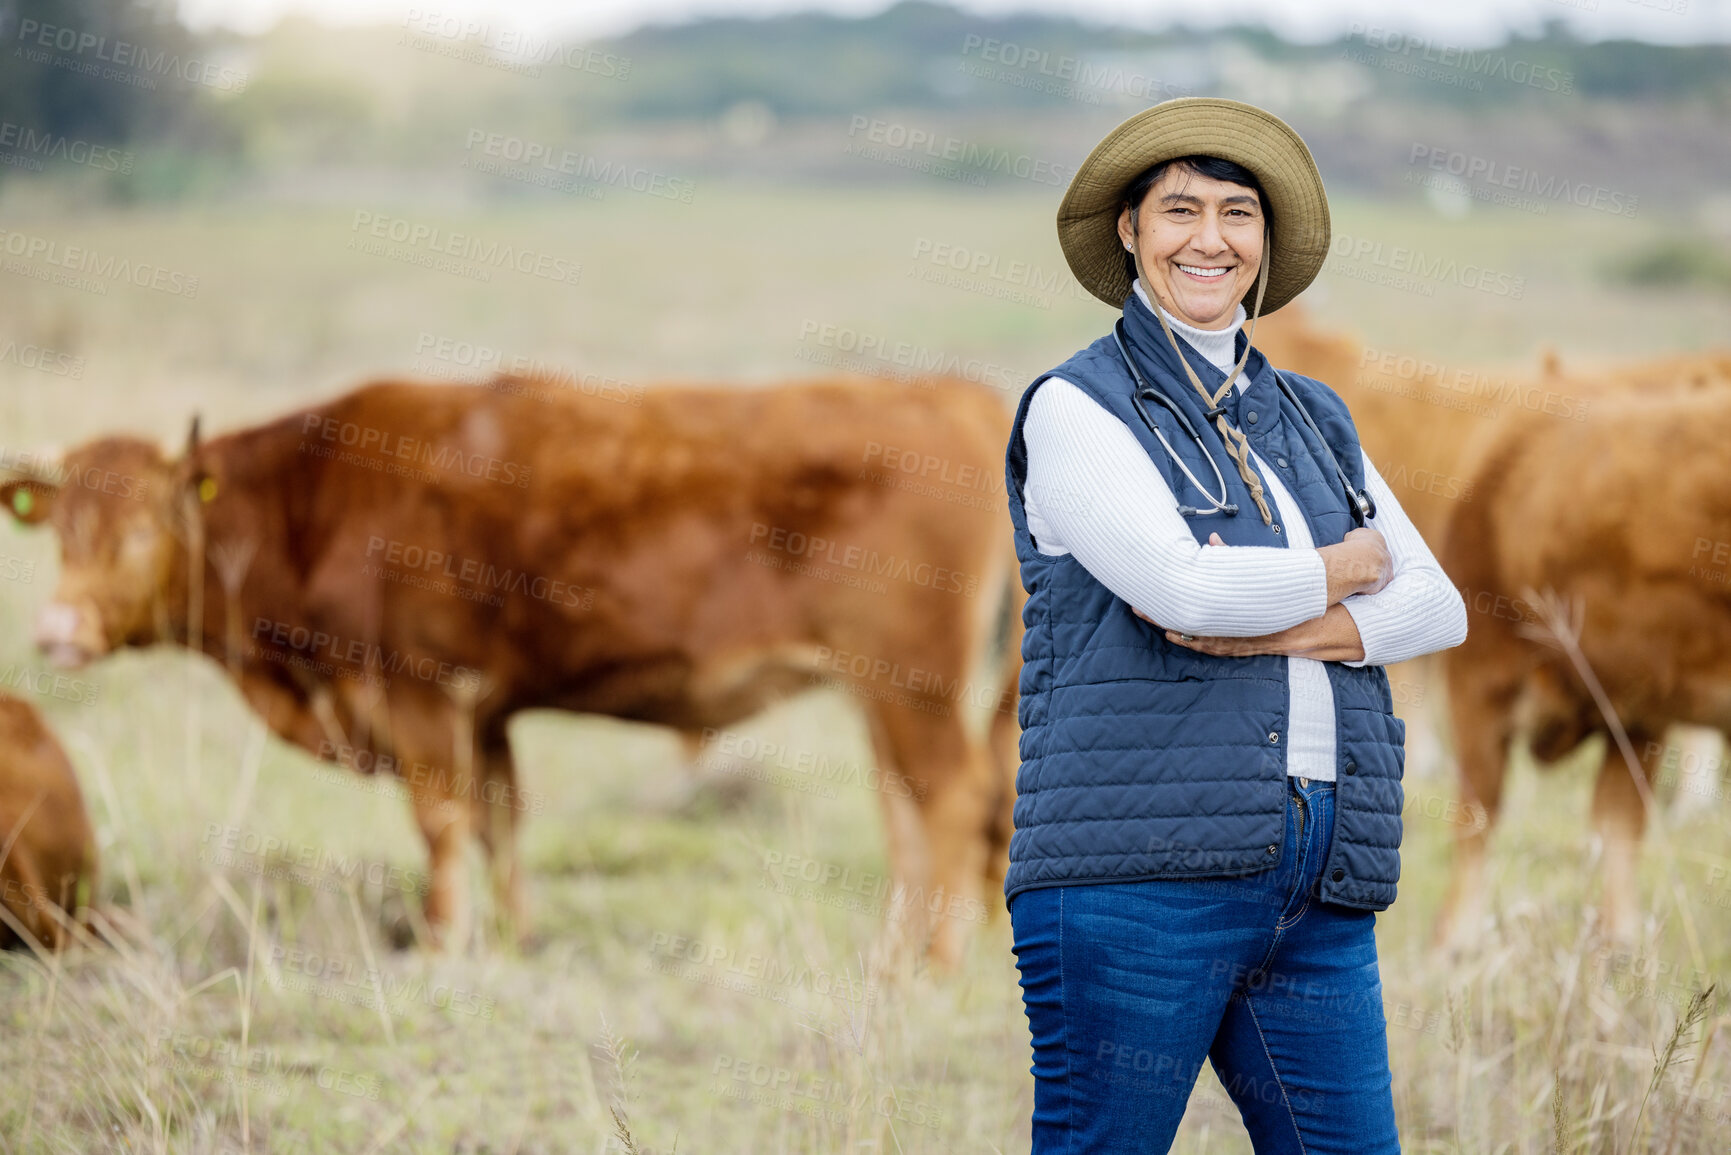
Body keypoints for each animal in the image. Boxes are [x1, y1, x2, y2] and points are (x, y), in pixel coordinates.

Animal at [1426, 384, 1731, 942]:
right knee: (1476, 823)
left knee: (1615, 824)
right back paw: (1459, 947)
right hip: (1483, 684)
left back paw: (1622, 947)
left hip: (1635, 714)